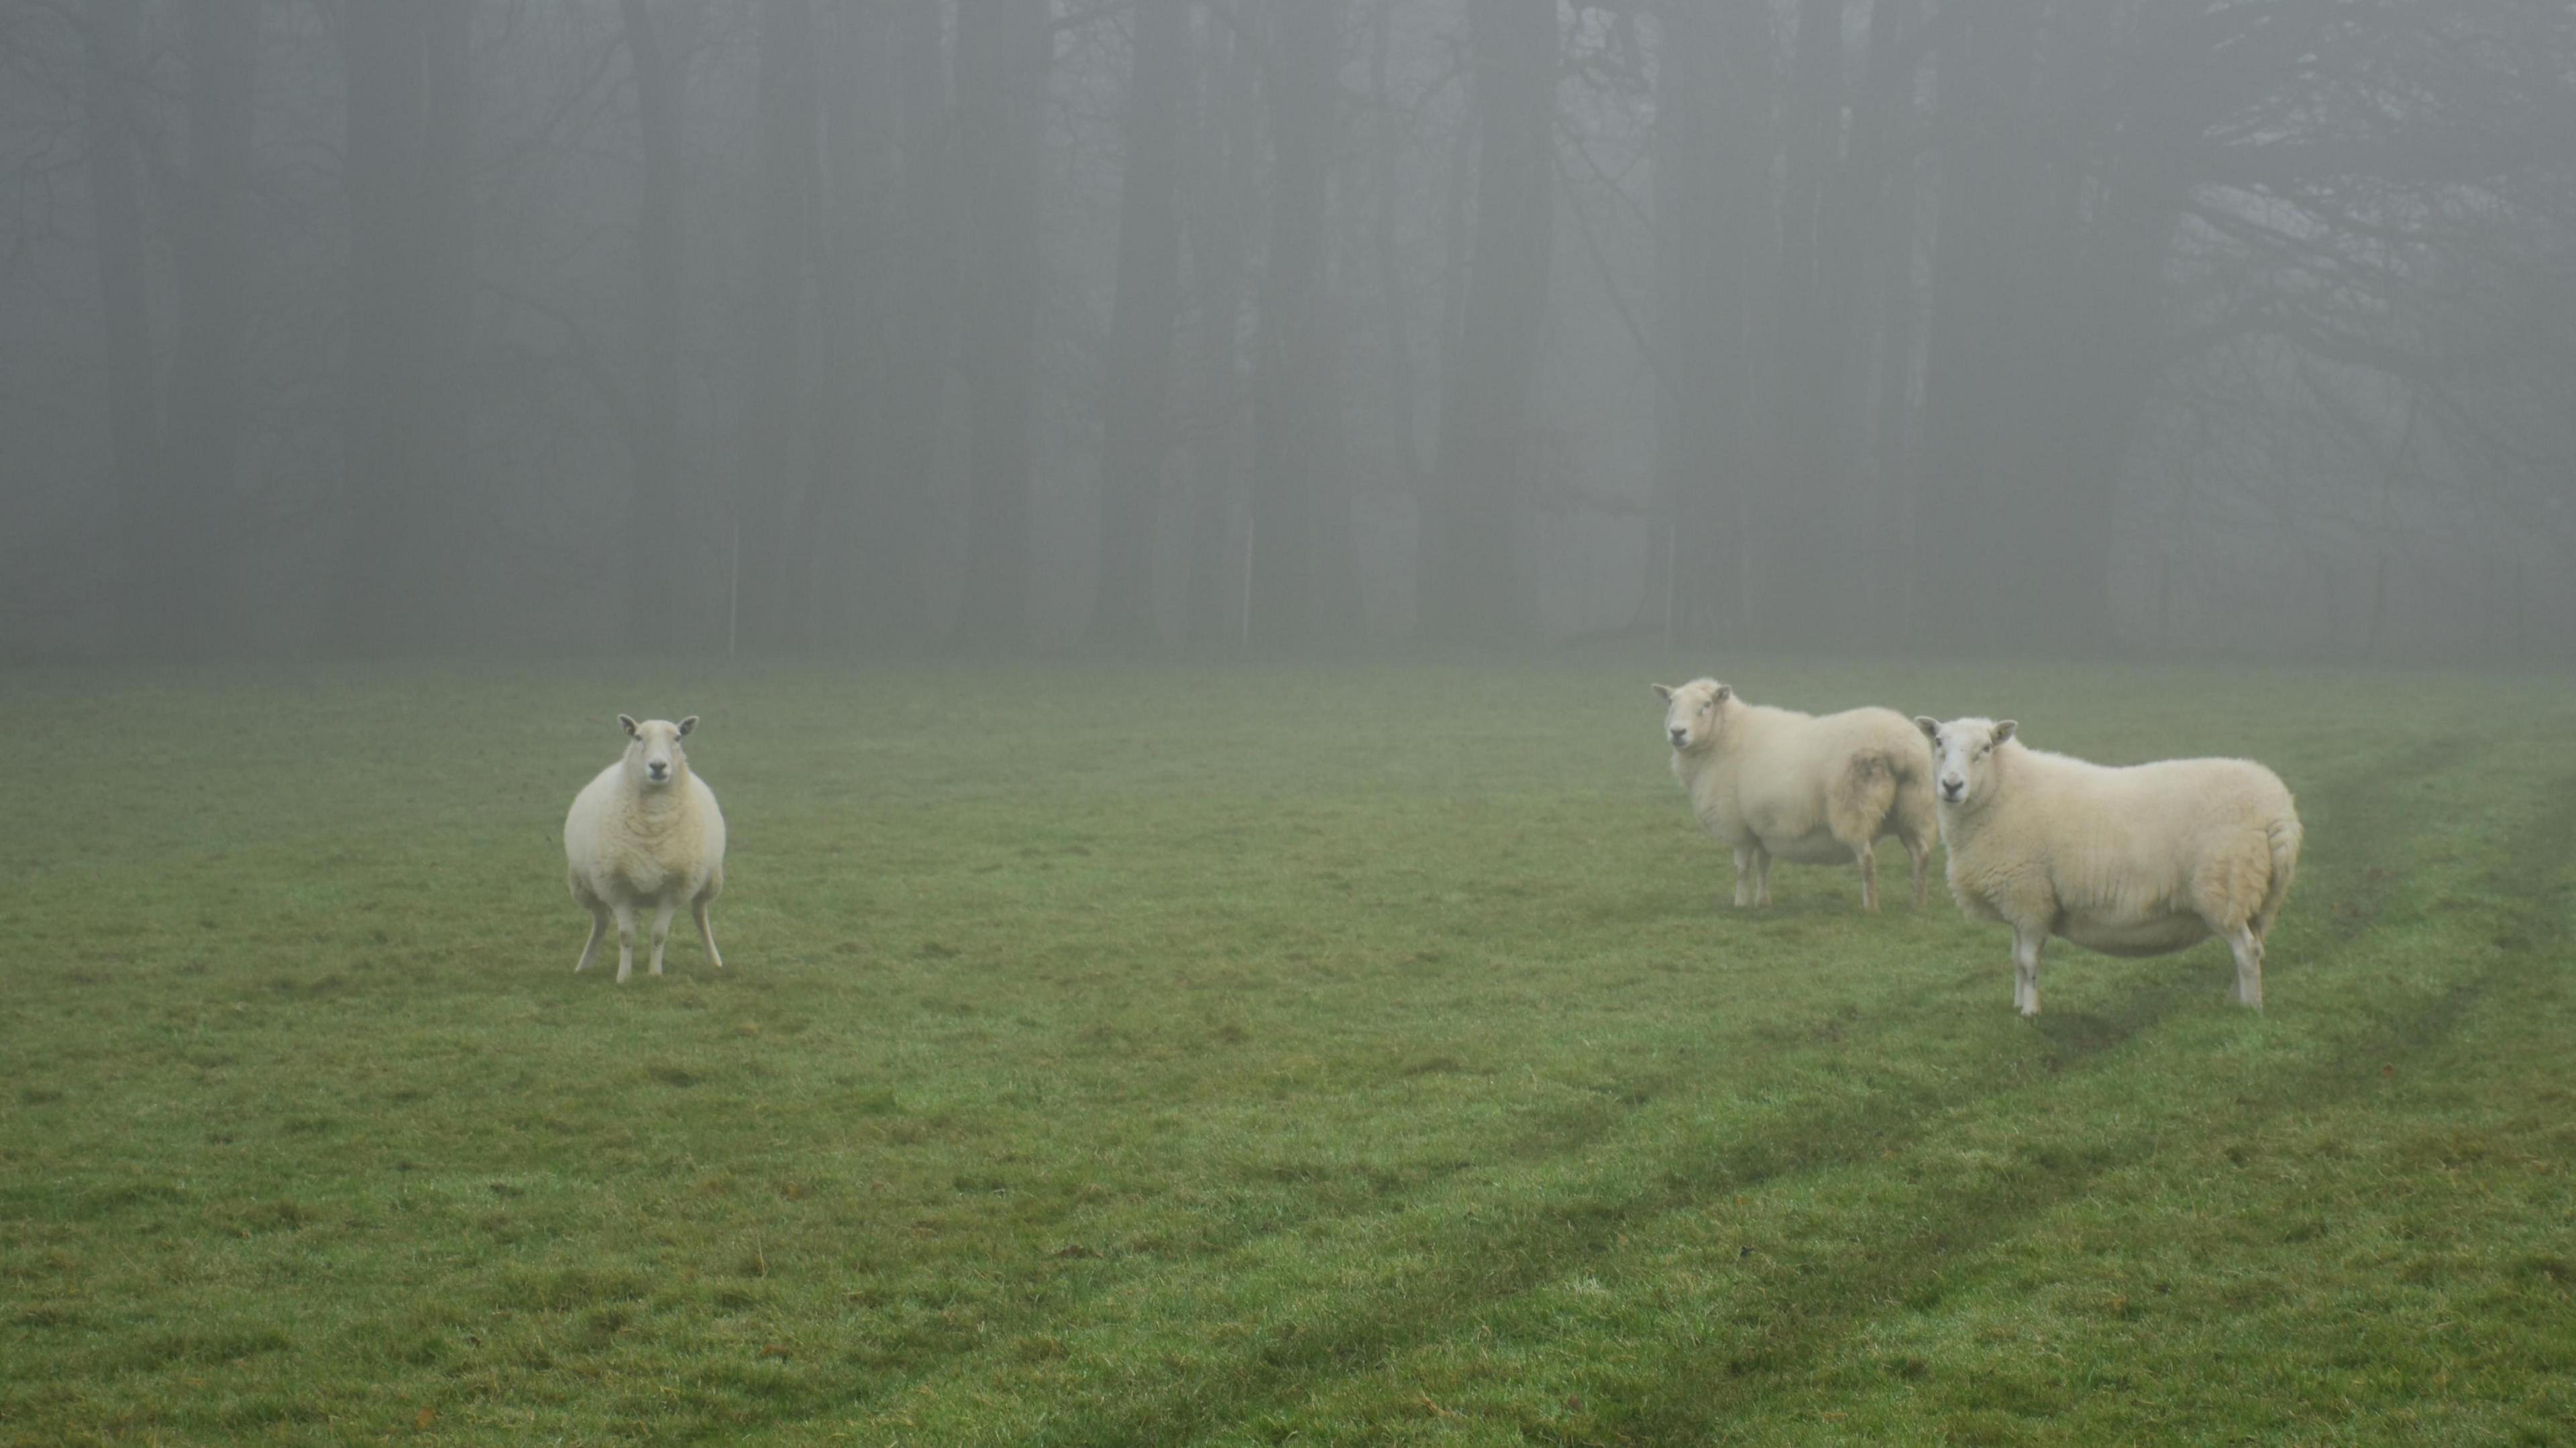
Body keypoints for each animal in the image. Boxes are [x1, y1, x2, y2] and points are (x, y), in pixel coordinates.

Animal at [564, 711, 726, 979]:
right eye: (638, 737)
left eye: (678, 737)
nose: (658, 766)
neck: (654, 819)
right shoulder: (616, 886)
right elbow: (625, 935)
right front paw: (624, 977)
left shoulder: (674, 888)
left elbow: (659, 935)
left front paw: (654, 974)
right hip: (585, 885)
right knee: (601, 920)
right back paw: (584, 965)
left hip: (707, 882)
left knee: (700, 914)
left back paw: (714, 961)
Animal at [1648, 675, 1937, 901]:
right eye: (1671, 703)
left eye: (1706, 705)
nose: (1677, 733)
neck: (1723, 737)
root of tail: (1902, 747)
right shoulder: (1763, 825)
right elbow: (1764, 865)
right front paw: (1762, 902)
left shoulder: (1738, 826)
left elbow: (1742, 869)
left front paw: (1740, 903)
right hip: (1913, 808)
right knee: (1920, 855)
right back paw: (1918, 904)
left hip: (1854, 808)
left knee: (1867, 860)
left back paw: (1872, 907)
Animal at [1906, 711, 2308, 1015]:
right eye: (1938, 743)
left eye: (1986, 748)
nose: (1951, 785)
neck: (2001, 793)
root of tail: (2278, 810)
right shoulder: (2019, 903)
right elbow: (2016, 961)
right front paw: (2017, 1007)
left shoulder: (2030, 898)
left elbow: (2030, 963)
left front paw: (2031, 1014)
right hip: (2256, 894)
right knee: (2253, 948)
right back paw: (2236, 999)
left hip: (2224, 886)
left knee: (2247, 951)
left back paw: (2250, 1010)